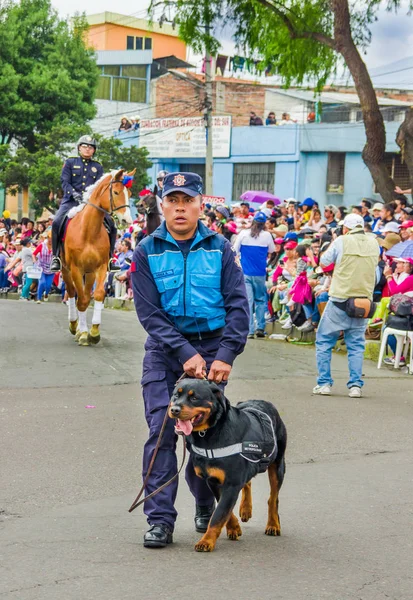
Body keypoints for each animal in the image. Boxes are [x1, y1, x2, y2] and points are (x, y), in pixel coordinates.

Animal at [62, 169, 133, 346]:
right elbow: (80, 300)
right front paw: (83, 333)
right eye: (116, 192)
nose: (127, 220)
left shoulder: (100, 268)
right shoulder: (75, 269)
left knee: (86, 295)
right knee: (72, 293)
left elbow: (98, 294)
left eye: (130, 194)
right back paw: (74, 326)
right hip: (66, 270)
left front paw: (93, 332)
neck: (89, 230)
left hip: (89, 273)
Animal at [168, 380, 286, 552]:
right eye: (176, 395)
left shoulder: (231, 483)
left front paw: (206, 541)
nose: (174, 409)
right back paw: (246, 508)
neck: (209, 433)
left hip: (277, 465)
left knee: (273, 497)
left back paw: (273, 524)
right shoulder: (213, 481)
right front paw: (234, 527)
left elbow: (218, 515)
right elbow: (224, 510)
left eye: (195, 398)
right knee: (248, 482)